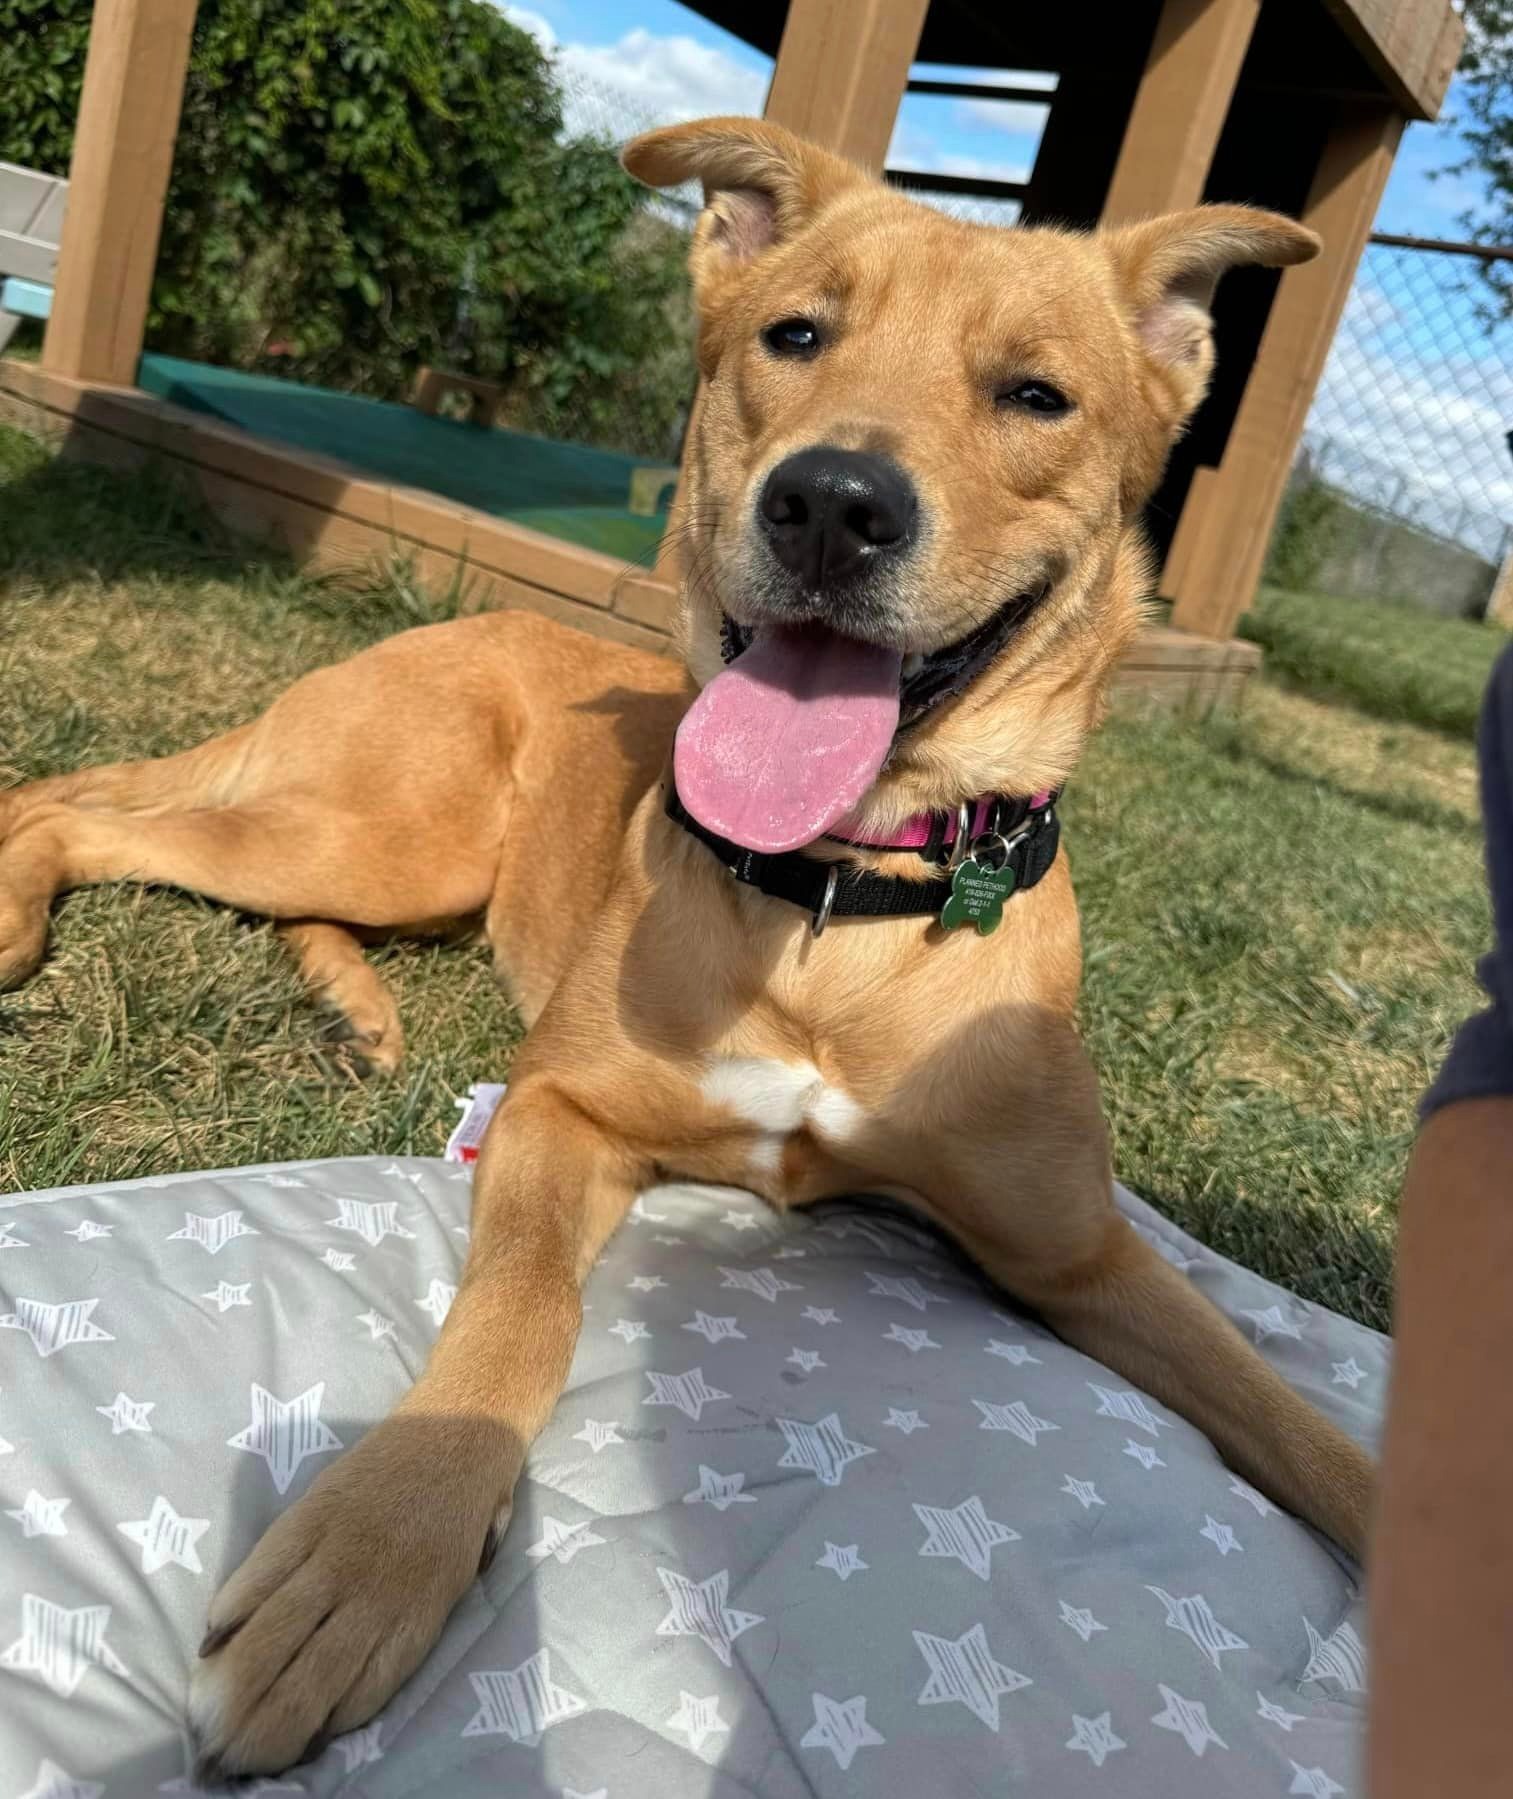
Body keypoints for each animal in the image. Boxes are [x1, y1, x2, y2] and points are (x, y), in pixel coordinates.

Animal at [0, 119, 1367, 1777]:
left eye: (1036, 395)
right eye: (796, 336)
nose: (831, 503)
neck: (841, 906)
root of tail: (438, 624)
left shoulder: (1081, 1248)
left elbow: (1302, 1424)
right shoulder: (562, 1107)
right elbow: (519, 1315)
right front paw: (368, 1556)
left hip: (404, 869)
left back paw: (358, 1005)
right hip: (384, 830)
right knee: (70, 804)